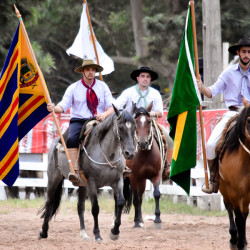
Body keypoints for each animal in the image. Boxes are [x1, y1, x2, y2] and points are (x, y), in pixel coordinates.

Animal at [38, 106, 137, 242]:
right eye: (121, 127)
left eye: (135, 127)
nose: (130, 153)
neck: (107, 154)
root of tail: (55, 143)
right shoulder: (92, 183)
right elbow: (95, 208)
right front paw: (97, 234)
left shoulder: (118, 181)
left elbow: (120, 202)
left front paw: (114, 231)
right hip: (54, 178)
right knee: (49, 201)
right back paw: (43, 232)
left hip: (82, 185)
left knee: (80, 207)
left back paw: (84, 234)